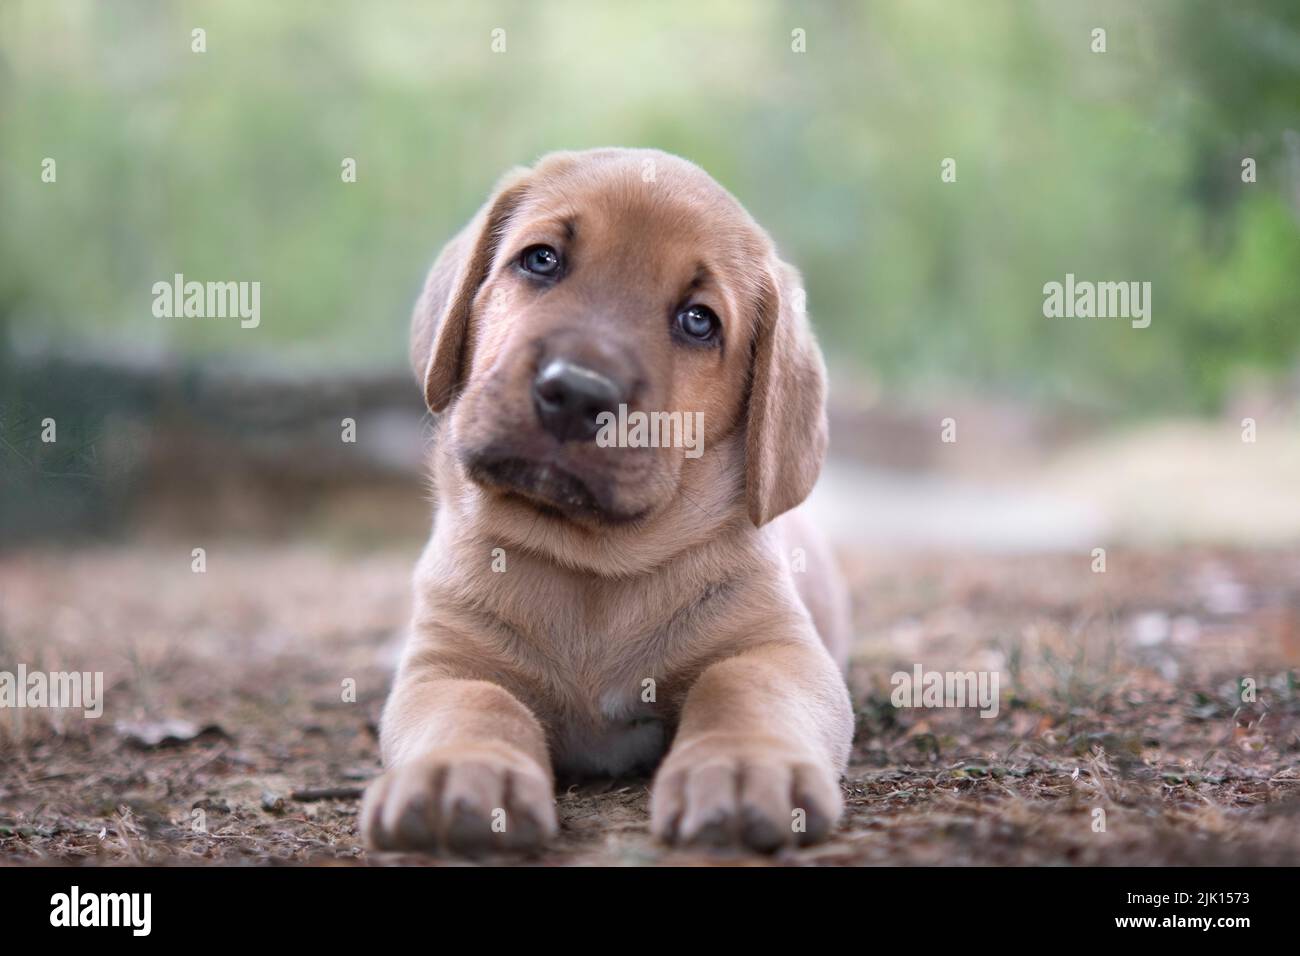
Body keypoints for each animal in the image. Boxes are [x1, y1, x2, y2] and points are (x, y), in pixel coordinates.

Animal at [364, 147, 852, 853]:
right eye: (541, 260)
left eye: (698, 321)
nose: (576, 392)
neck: (590, 569)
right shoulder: (447, 665)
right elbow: (479, 705)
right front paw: (458, 770)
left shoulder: (778, 647)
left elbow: (740, 685)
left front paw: (741, 764)